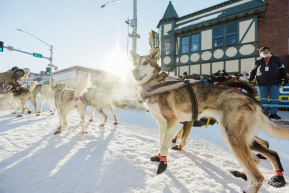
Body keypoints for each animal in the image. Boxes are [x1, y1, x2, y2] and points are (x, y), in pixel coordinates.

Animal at [130, 47, 288, 193]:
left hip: (232, 138)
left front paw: (163, 165)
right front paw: (159, 158)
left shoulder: (172, 122)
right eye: (135, 63)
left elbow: (164, 145)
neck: (155, 83)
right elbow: (161, 142)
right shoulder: (162, 124)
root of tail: (253, 100)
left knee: (258, 176)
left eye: (145, 62)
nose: (134, 72)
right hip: (239, 139)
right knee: (256, 161)